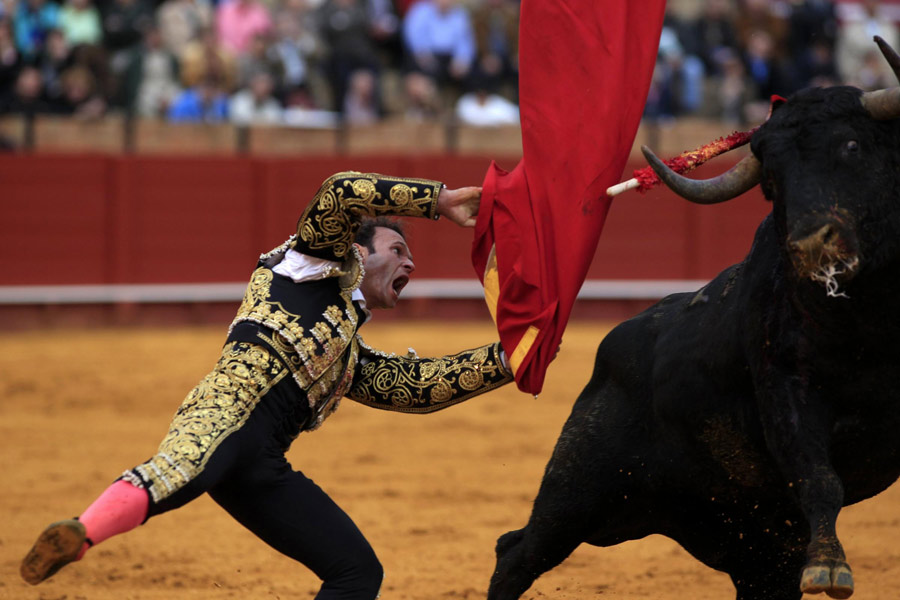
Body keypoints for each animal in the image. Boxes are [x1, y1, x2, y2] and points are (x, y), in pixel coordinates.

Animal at [488, 38, 900, 600]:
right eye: (771, 181)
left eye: (853, 146)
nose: (812, 245)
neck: (871, 316)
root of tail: (612, 349)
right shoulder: (786, 389)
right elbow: (819, 477)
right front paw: (829, 569)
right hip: (580, 490)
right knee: (518, 551)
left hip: (752, 540)